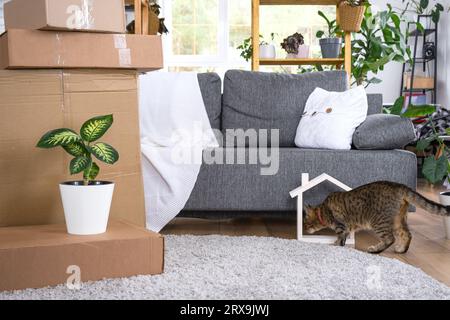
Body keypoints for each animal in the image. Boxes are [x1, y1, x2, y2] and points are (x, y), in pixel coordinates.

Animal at [302, 181, 450, 254]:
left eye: (305, 223)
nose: (304, 229)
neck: (323, 210)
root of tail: (399, 186)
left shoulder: (340, 226)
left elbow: (340, 238)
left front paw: (335, 245)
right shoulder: (346, 228)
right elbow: (344, 237)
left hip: (379, 222)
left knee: (390, 238)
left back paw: (375, 250)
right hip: (398, 220)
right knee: (407, 234)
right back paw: (401, 250)